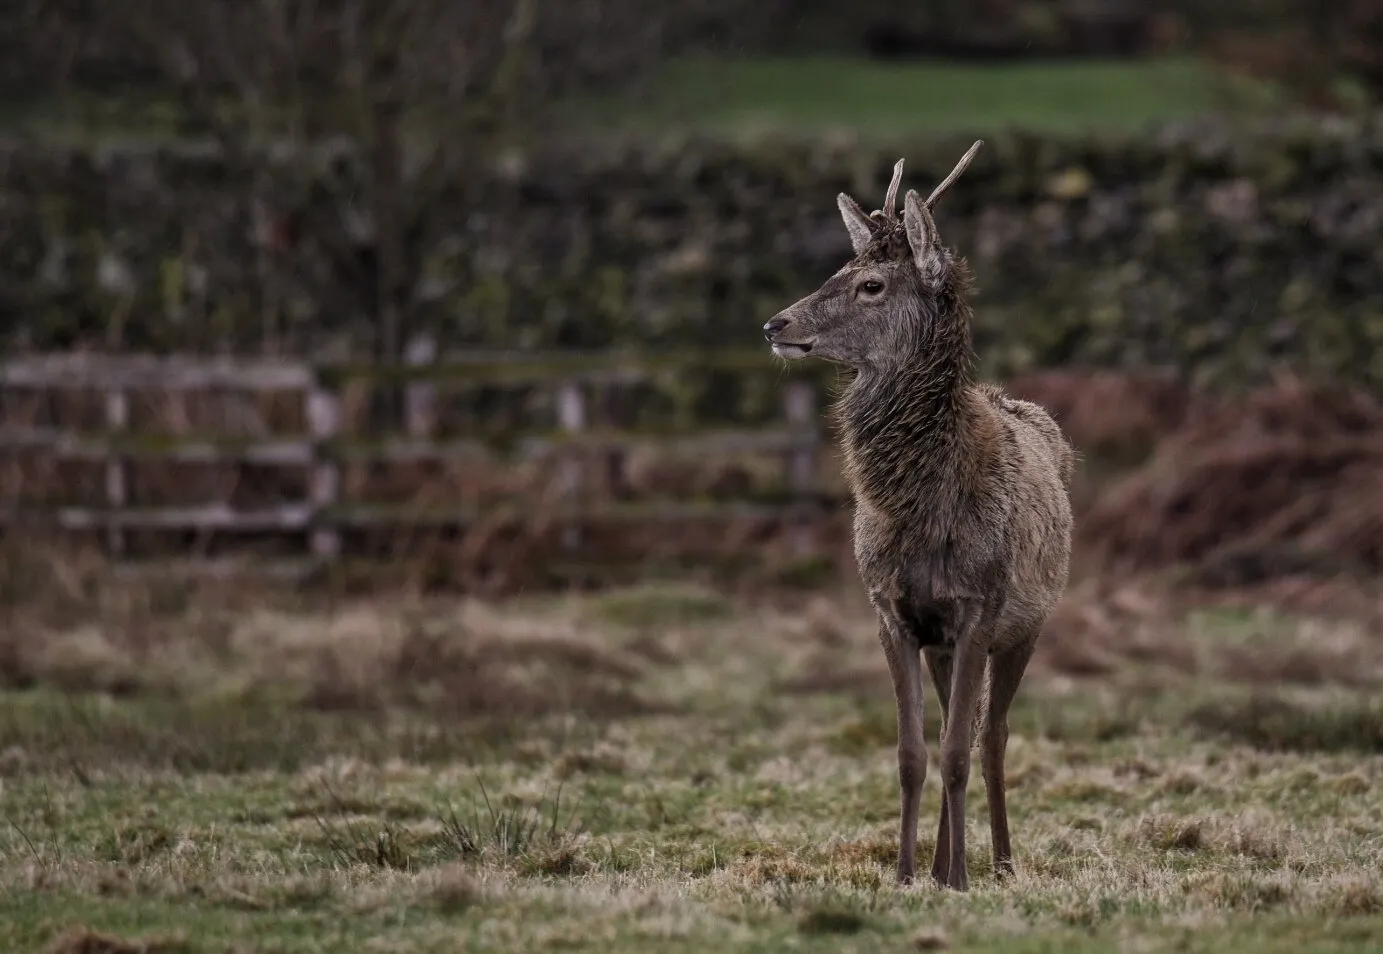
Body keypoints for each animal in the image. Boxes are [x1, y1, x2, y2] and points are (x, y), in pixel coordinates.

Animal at [761, 141, 1074, 891]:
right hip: (943, 643)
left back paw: (999, 862)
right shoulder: (893, 610)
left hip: (1027, 624)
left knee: (992, 736)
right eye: (835, 270)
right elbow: (912, 754)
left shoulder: (981, 605)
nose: (775, 324)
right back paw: (939, 864)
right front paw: (906, 875)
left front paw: (958, 877)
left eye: (872, 285)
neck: (921, 510)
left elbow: (959, 751)